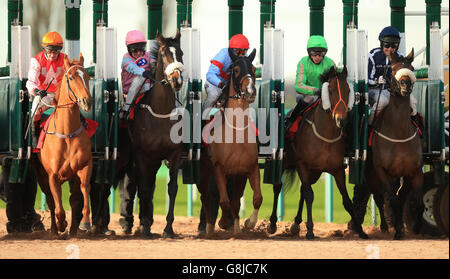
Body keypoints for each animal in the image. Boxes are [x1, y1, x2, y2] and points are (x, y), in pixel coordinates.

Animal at [34, 53, 93, 235]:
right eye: (71, 77)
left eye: (87, 76)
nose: (86, 101)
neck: (67, 135)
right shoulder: (52, 175)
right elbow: (57, 205)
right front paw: (61, 224)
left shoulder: (84, 166)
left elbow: (84, 190)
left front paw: (85, 222)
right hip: (42, 176)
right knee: (52, 201)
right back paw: (54, 229)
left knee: (73, 198)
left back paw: (73, 228)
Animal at [130, 30, 185, 238]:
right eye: (164, 53)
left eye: (180, 53)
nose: (177, 80)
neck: (161, 113)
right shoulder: (142, 155)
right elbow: (145, 188)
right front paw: (145, 226)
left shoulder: (174, 155)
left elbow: (172, 188)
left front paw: (168, 228)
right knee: (143, 186)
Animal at [199, 48, 262, 236]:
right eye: (235, 69)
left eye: (254, 69)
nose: (250, 90)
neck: (236, 133)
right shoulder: (219, 168)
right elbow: (224, 201)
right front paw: (223, 222)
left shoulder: (248, 168)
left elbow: (256, 198)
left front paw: (248, 223)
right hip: (204, 171)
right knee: (206, 196)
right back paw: (209, 228)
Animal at [268, 66, 370, 240]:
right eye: (330, 90)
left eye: (348, 90)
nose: (341, 120)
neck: (325, 136)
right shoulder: (303, 165)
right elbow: (309, 195)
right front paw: (310, 230)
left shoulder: (337, 169)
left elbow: (346, 200)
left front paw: (361, 231)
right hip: (286, 163)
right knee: (277, 188)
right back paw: (273, 223)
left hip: (315, 173)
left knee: (302, 190)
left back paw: (296, 223)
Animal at [362, 48, 422, 241]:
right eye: (393, 69)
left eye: (411, 68)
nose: (405, 85)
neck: (399, 133)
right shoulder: (382, 171)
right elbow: (392, 199)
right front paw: (396, 230)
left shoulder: (414, 171)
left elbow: (413, 201)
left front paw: (413, 227)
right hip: (371, 175)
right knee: (380, 197)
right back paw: (383, 227)